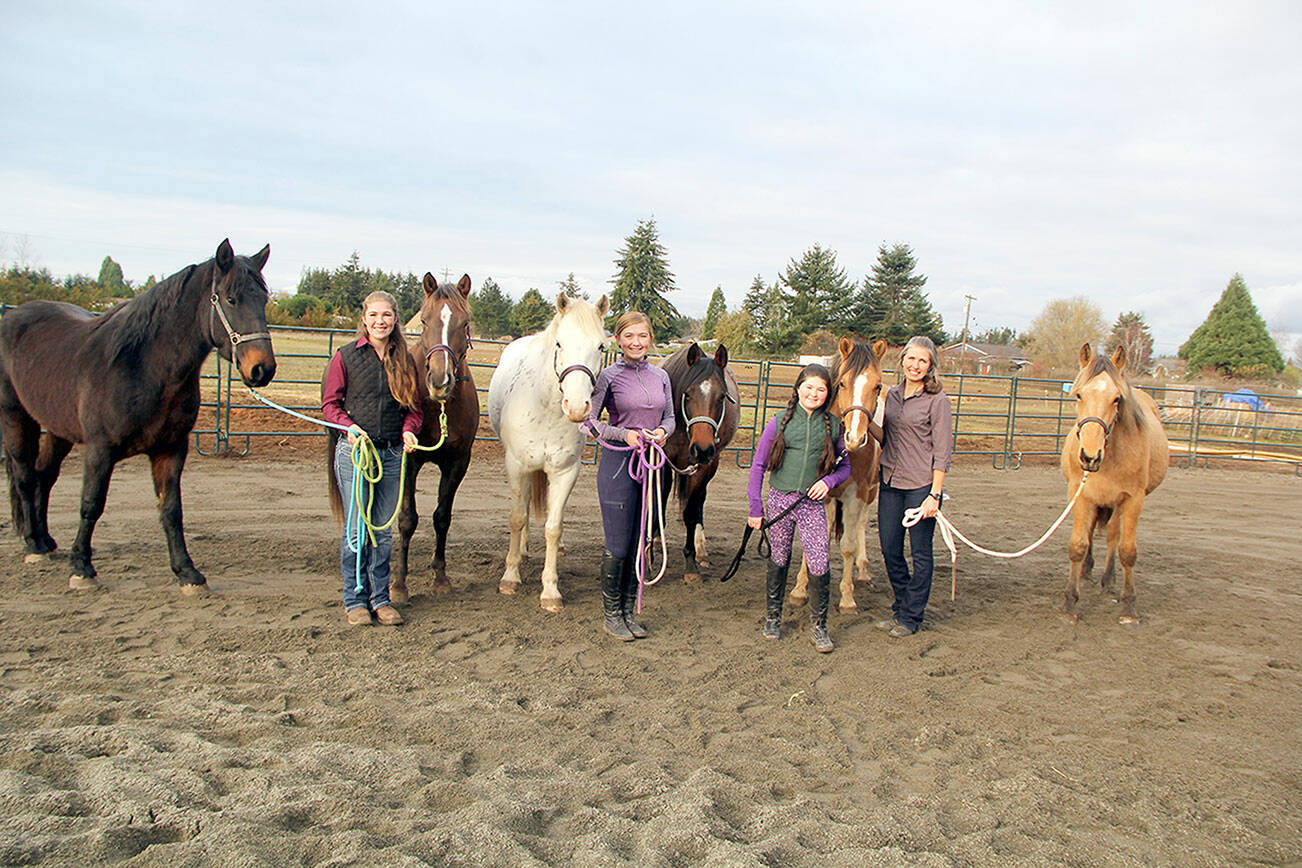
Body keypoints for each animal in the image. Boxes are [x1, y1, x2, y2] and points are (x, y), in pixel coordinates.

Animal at [0, 239, 276, 593]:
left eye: (263, 300)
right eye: (231, 298)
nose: (262, 368)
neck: (143, 367)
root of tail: (13, 316)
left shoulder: (170, 450)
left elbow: (171, 511)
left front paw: (187, 572)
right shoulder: (100, 450)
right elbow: (91, 504)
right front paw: (82, 567)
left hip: (58, 430)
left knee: (44, 476)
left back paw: (46, 540)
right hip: (16, 417)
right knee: (24, 474)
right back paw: (33, 544)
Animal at [487, 293, 609, 612]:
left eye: (601, 346)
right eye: (559, 343)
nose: (577, 408)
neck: (546, 409)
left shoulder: (565, 471)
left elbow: (553, 527)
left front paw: (550, 590)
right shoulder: (517, 466)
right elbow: (517, 518)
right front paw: (510, 577)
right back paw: (522, 551)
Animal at [658, 342, 739, 582]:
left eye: (722, 397)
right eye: (688, 394)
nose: (702, 449)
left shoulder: (704, 466)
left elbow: (691, 511)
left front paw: (691, 563)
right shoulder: (665, 461)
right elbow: (661, 499)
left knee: (699, 500)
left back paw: (701, 549)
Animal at [791, 337, 887, 613]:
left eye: (877, 385)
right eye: (842, 383)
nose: (854, 438)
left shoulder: (856, 495)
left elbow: (848, 546)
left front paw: (847, 598)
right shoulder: (821, 494)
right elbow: (816, 538)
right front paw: (801, 589)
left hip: (872, 492)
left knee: (862, 525)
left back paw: (863, 570)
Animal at [1061, 343, 1169, 624]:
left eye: (1116, 398)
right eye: (1079, 395)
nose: (1089, 456)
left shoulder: (1133, 499)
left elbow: (1127, 550)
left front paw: (1129, 606)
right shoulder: (1080, 494)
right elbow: (1078, 544)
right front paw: (1070, 603)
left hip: (1119, 504)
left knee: (1112, 537)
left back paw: (1108, 581)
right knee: (1092, 533)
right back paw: (1086, 573)